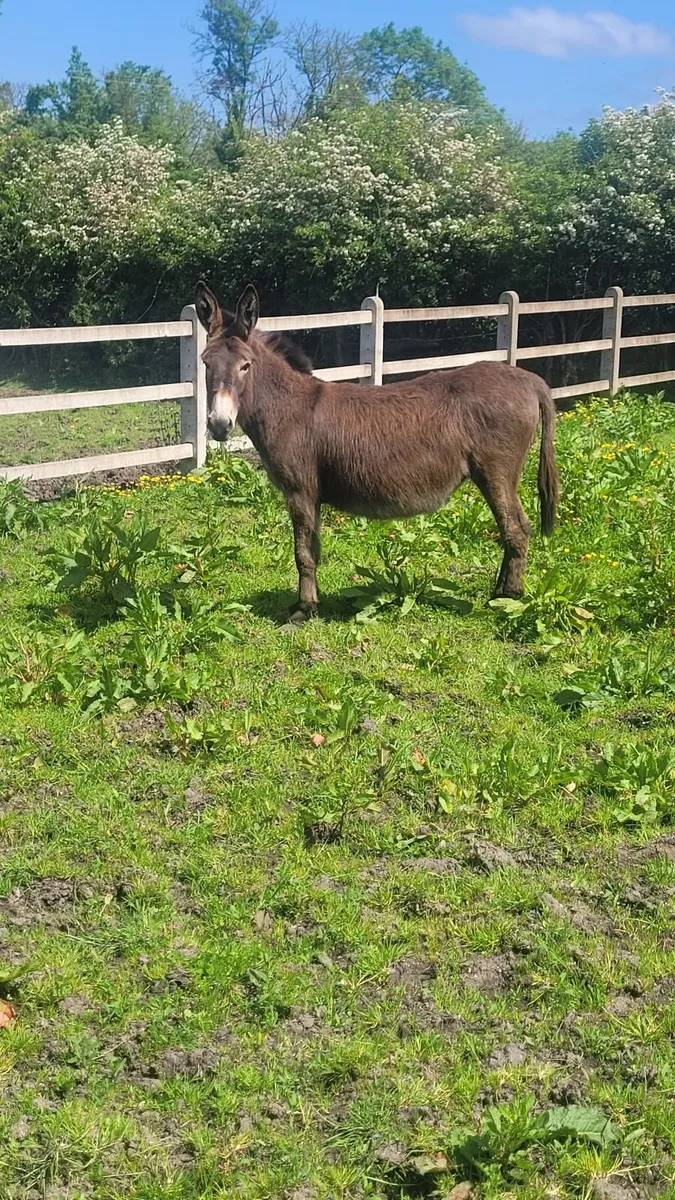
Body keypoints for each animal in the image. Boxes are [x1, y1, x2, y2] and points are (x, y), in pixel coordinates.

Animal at [194, 282, 559, 622]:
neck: (289, 407)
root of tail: (529, 380)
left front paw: (302, 611)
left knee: (516, 528)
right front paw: (313, 605)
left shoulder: (299, 491)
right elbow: (315, 549)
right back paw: (500, 591)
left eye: (245, 366)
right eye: (205, 364)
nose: (219, 425)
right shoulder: (312, 495)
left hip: (497, 471)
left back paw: (507, 599)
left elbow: (303, 553)